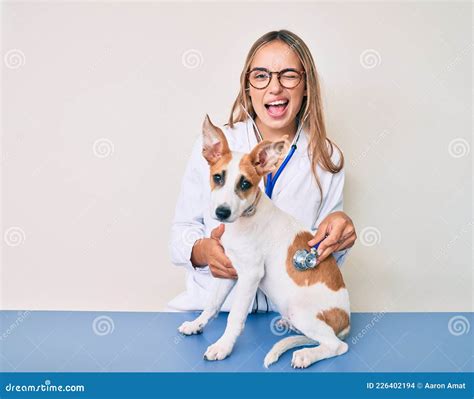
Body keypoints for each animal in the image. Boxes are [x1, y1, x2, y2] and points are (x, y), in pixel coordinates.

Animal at [178, 115, 348, 368]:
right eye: (218, 178)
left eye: (245, 184)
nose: (222, 212)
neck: (246, 218)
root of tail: (346, 321)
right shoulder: (229, 270)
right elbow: (212, 304)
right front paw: (196, 324)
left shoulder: (250, 275)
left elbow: (235, 317)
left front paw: (222, 347)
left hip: (301, 311)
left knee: (337, 346)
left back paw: (306, 355)